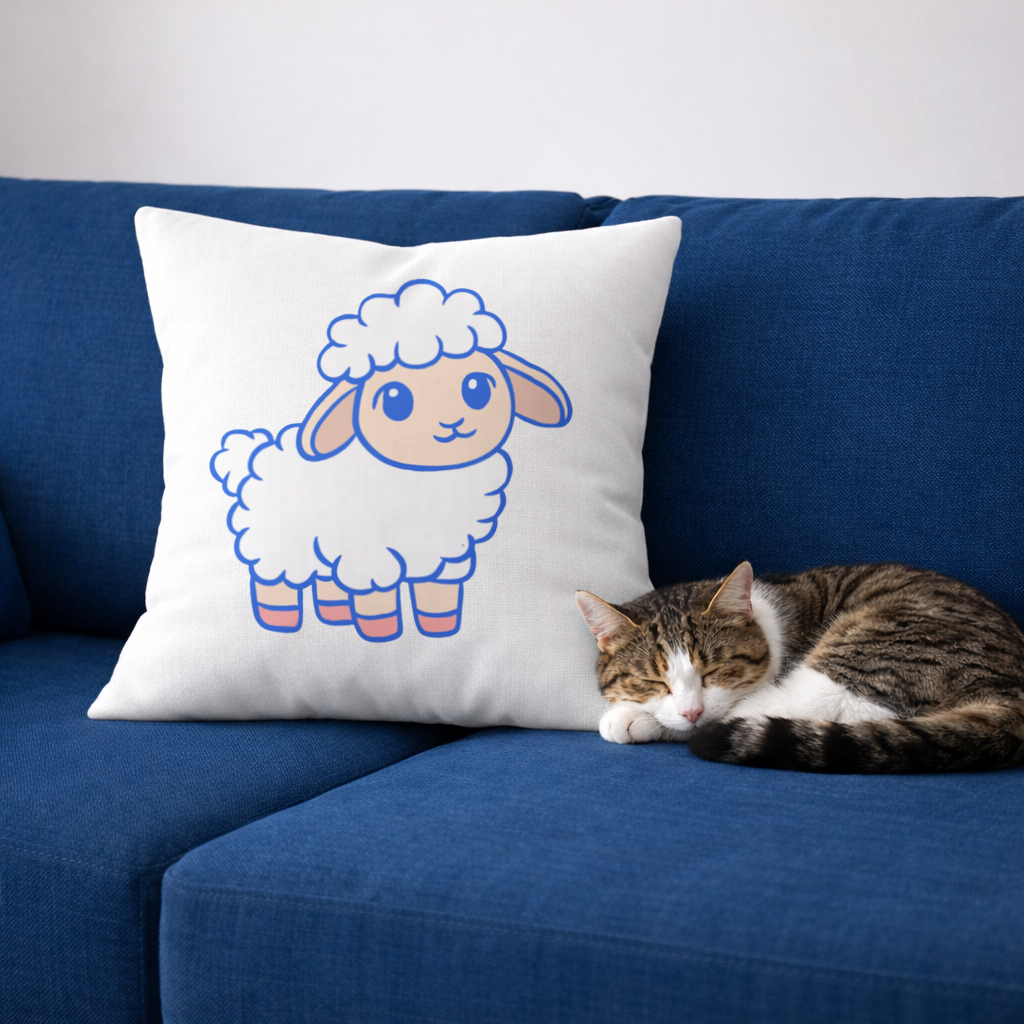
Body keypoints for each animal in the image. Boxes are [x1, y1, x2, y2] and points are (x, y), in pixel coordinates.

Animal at [211, 278, 572, 643]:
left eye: (477, 389)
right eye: (395, 401)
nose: (452, 424)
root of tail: (253, 454)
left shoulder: (446, 555)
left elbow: (437, 600)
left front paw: (439, 628)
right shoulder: (370, 557)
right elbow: (377, 601)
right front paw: (383, 631)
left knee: (328, 580)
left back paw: (336, 616)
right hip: (272, 548)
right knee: (274, 583)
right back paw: (280, 620)